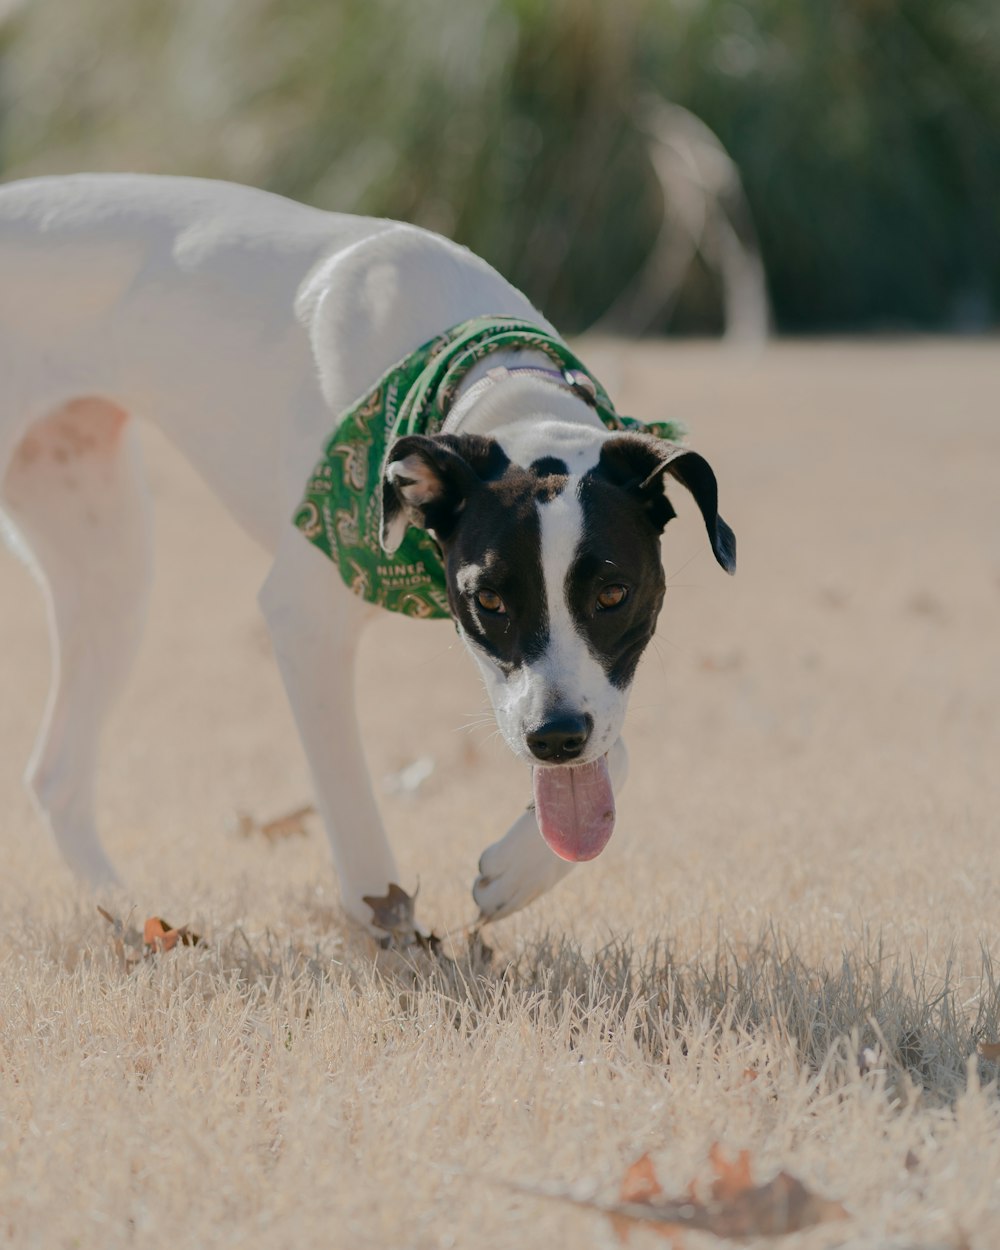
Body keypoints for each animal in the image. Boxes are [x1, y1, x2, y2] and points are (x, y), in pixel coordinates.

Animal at [0, 173, 735, 940]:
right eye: (490, 600)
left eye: (613, 595)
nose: (553, 739)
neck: (490, 382)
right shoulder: (304, 621)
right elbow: (347, 790)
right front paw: (385, 919)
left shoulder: (580, 700)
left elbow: (613, 749)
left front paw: (519, 870)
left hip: (109, 566)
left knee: (56, 776)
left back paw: (128, 912)